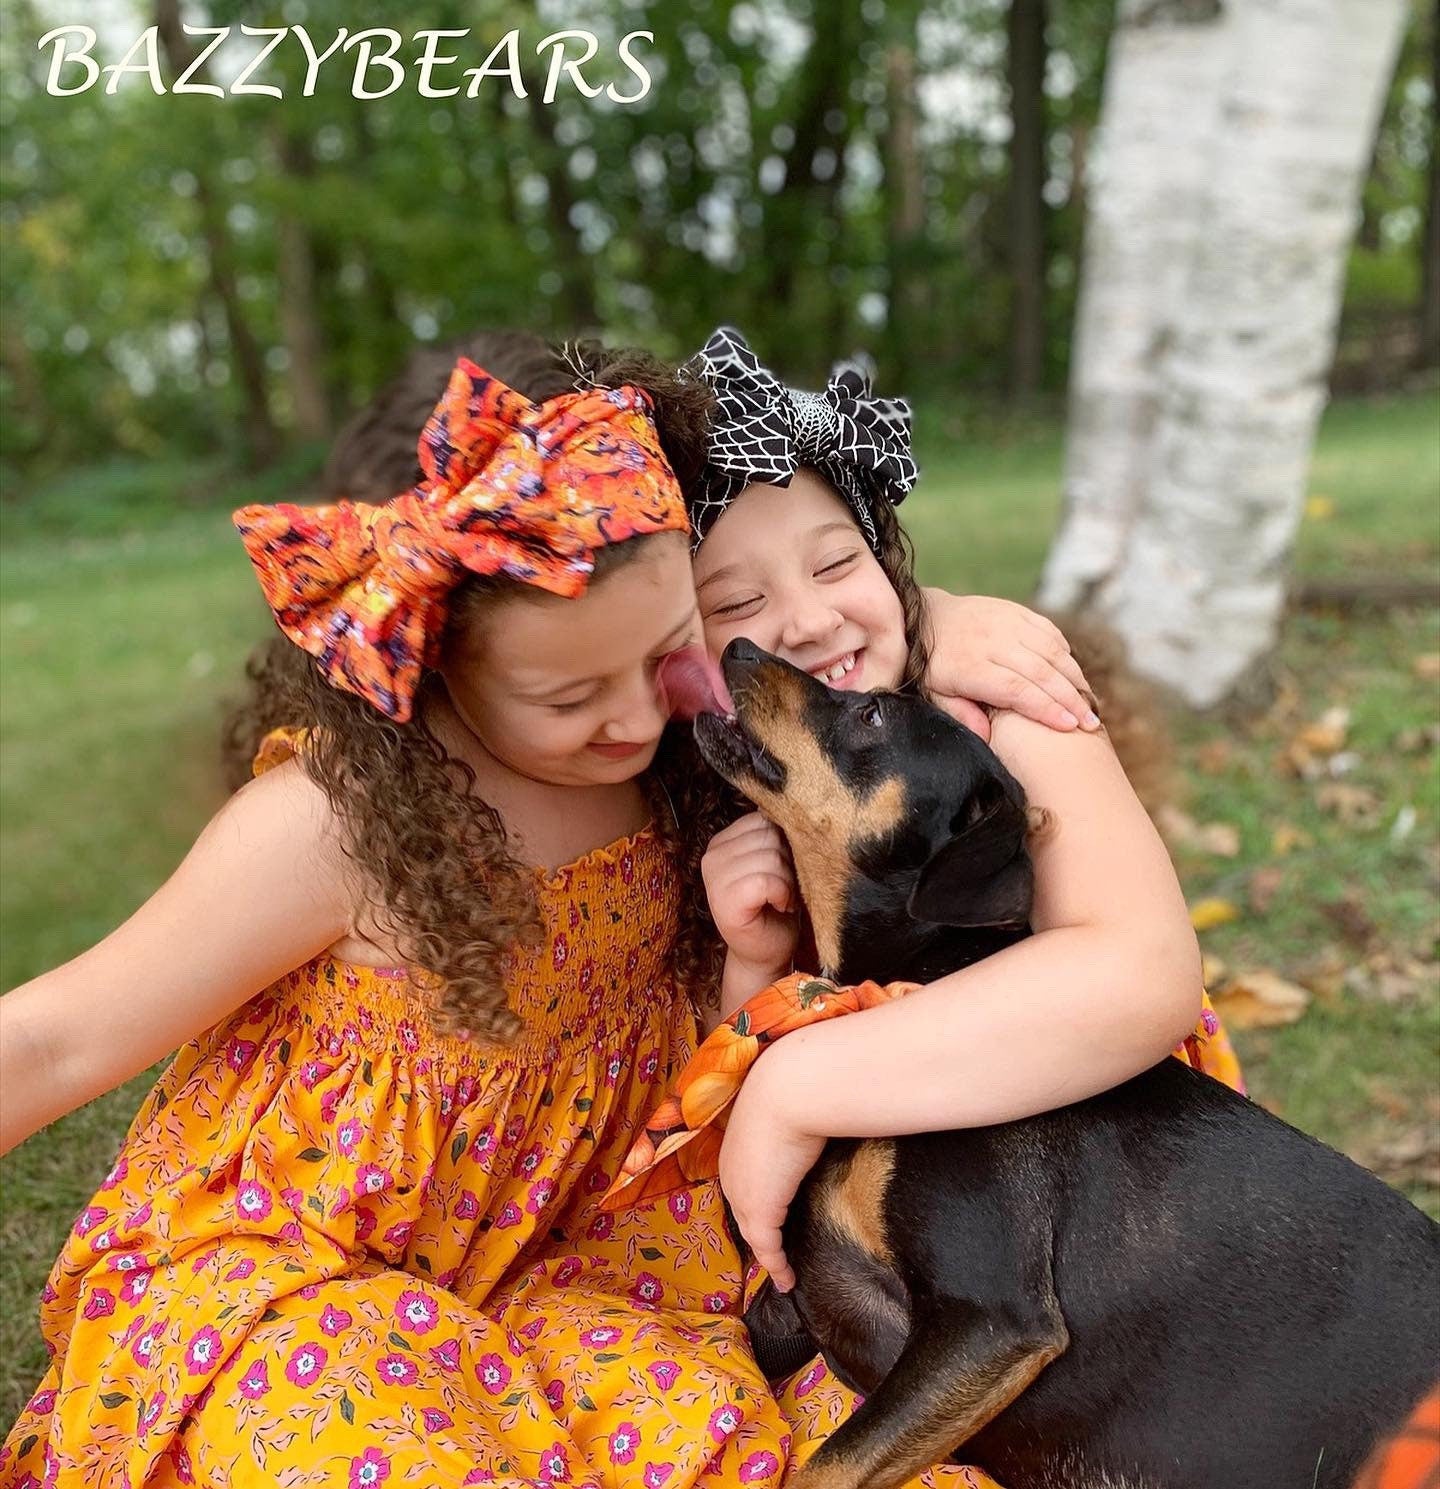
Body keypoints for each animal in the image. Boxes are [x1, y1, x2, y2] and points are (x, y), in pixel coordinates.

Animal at [693, 640, 1435, 1489]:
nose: (739, 646)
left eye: (872, 712)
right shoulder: (795, 1303)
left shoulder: (992, 1319)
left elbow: (821, 1469)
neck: (905, 983)